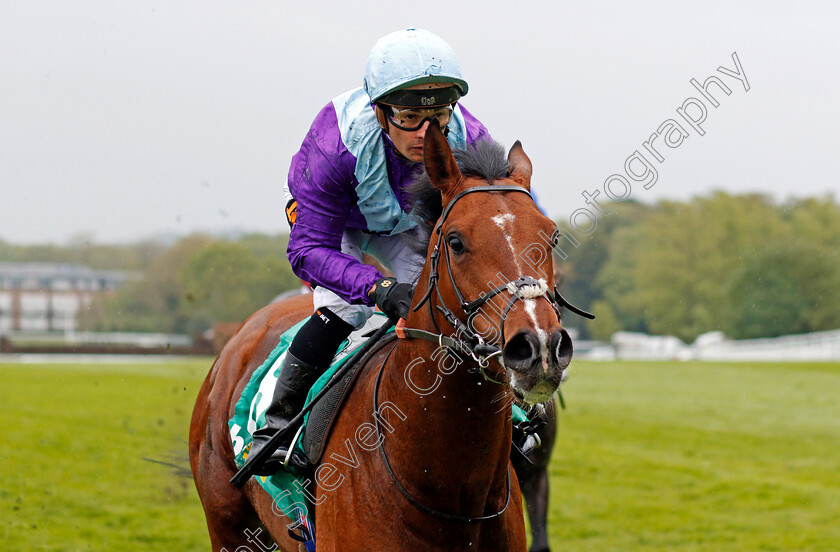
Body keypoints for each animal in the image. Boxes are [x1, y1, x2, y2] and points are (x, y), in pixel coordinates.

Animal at [189, 122, 572, 552]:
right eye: (455, 241)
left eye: (552, 236)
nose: (539, 347)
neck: (449, 490)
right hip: (227, 525)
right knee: (335, 312)